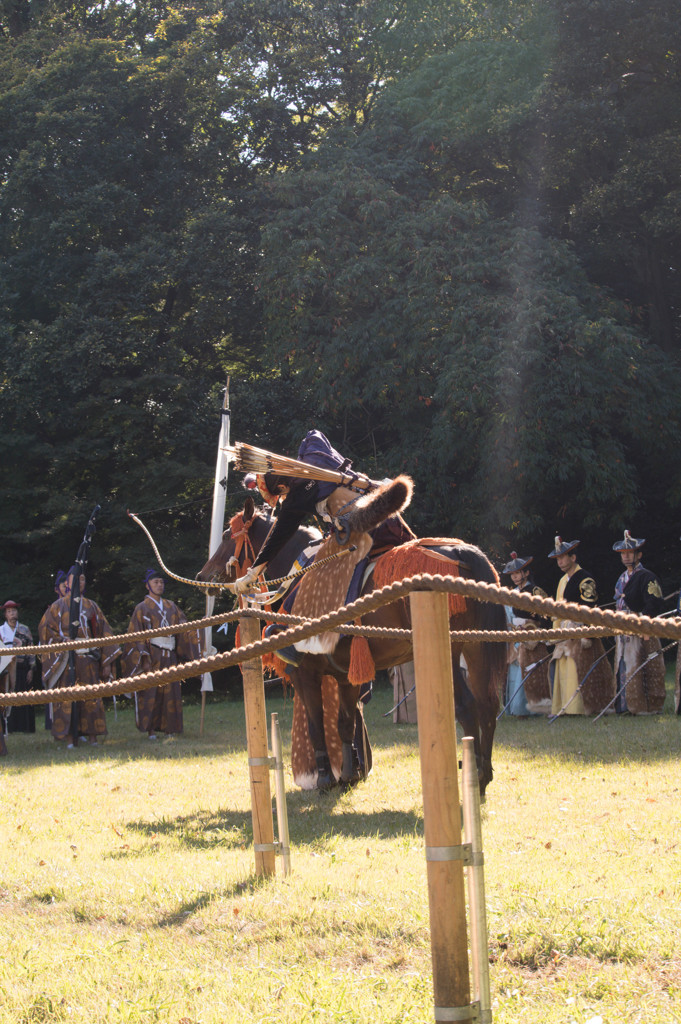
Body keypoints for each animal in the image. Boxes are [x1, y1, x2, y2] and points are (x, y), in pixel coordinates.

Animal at [196, 499, 503, 794]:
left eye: (226, 535)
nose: (203, 576)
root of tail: (464, 553)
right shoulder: (346, 676)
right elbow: (344, 724)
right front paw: (348, 774)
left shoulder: (305, 674)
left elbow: (316, 725)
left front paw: (324, 778)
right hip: (476, 647)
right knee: (488, 705)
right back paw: (485, 774)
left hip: (450, 650)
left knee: (467, 706)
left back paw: (474, 777)